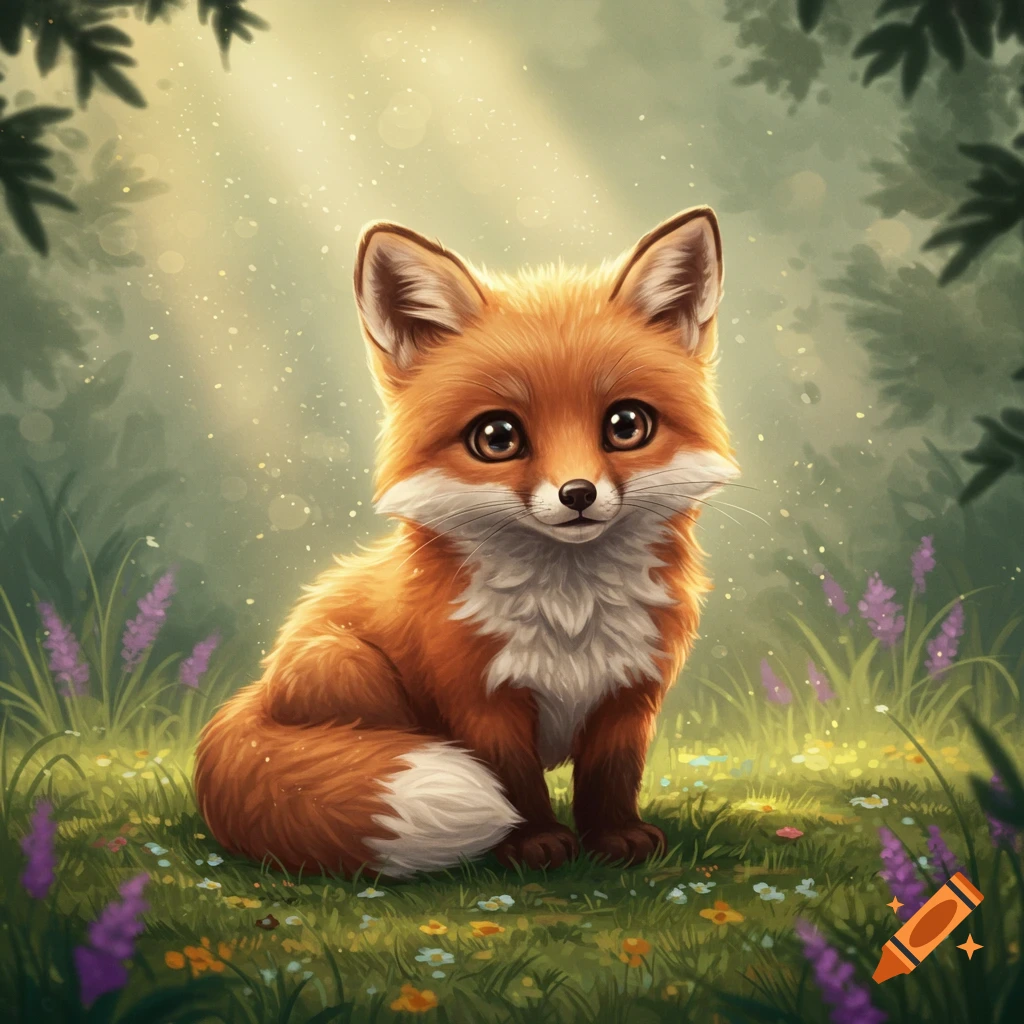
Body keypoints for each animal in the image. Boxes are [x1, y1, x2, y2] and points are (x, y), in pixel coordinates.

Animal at [193, 205, 739, 879]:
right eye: (497, 437)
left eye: (626, 425)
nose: (578, 494)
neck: (570, 613)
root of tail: (256, 693)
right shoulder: (478, 696)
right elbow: (515, 782)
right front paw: (531, 843)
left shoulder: (630, 693)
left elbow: (611, 776)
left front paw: (615, 837)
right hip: (344, 664)